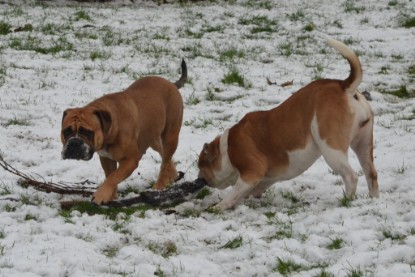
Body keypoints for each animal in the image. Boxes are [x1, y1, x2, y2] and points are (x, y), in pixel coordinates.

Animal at [198, 37, 380, 208]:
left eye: (201, 166)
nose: (199, 178)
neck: (226, 148)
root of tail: (344, 86)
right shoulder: (267, 177)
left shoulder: (252, 171)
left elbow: (235, 192)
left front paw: (219, 206)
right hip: (363, 143)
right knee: (371, 173)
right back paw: (373, 200)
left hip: (331, 148)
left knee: (351, 176)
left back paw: (345, 201)